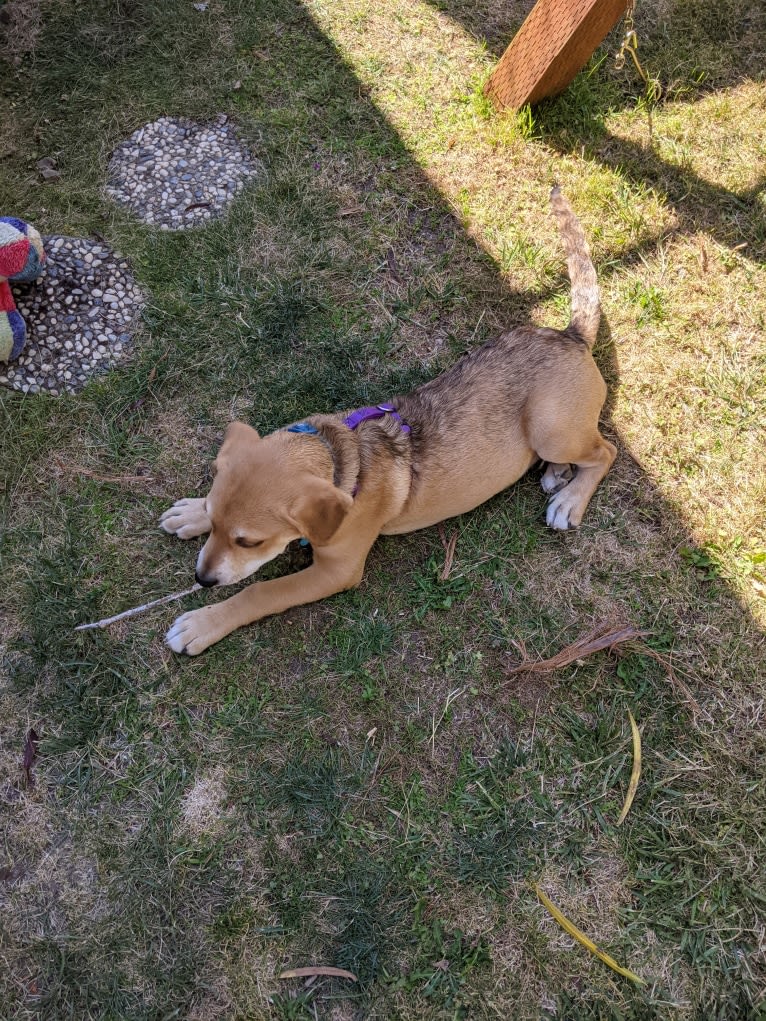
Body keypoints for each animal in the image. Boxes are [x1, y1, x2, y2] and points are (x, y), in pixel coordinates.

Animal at [162, 189, 616, 653]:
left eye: (249, 541)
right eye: (215, 520)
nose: (202, 578)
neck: (338, 457)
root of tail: (570, 335)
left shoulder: (336, 570)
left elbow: (259, 591)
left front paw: (202, 623)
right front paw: (191, 514)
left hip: (550, 428)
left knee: (605, 450)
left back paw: (569, 499)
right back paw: (557, 474)